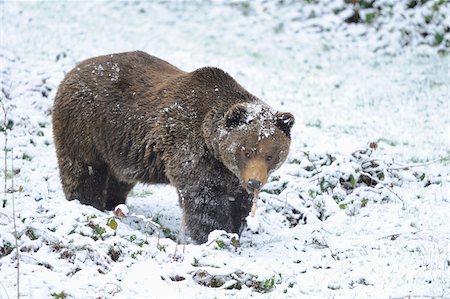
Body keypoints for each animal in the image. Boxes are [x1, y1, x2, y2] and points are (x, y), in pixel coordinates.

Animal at [52, 51, 294, 244]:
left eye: (270, 155)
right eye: (246, 150)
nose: (255, 182)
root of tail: (73, 70)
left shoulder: (232, 173)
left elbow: (238, 201)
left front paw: (235, 230)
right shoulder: (191, 148)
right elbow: (203, 197)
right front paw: (215, 234)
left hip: (120, 147)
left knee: (118, 179)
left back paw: (114, 204)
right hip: (88, 127)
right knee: (84, 170)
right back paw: (87, 204)